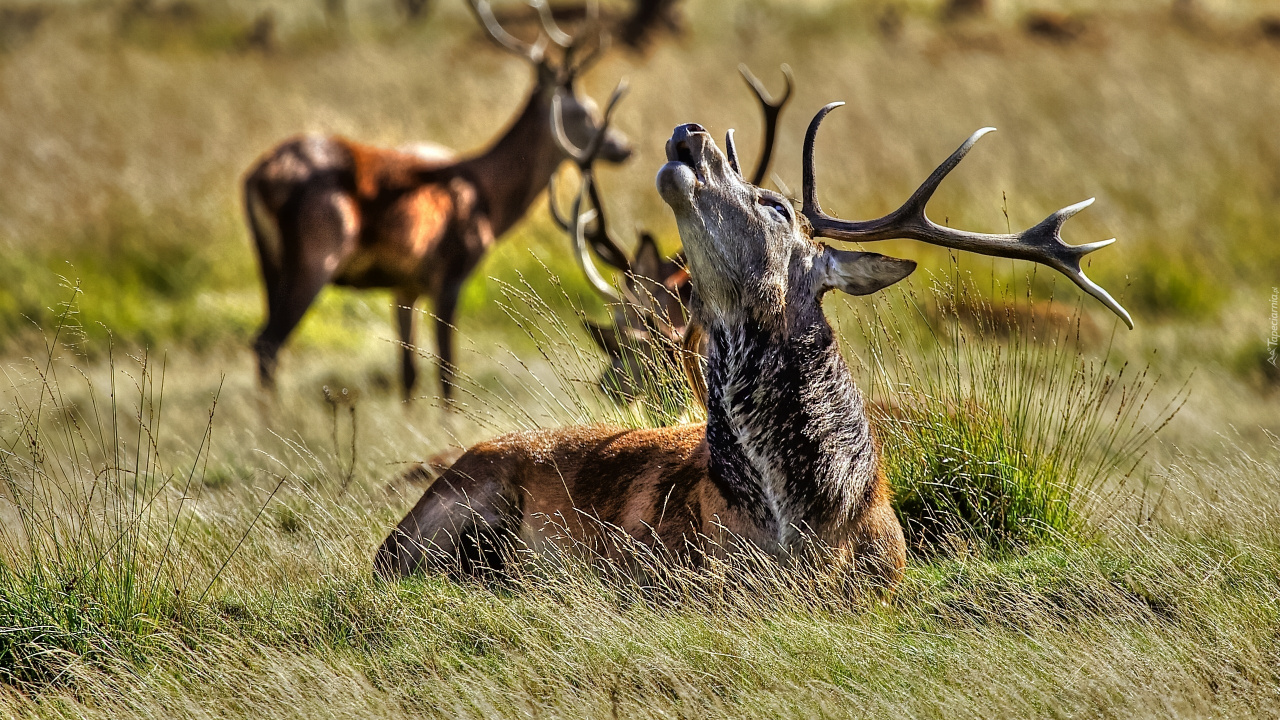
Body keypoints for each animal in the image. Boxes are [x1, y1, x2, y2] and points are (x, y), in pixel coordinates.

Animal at [242, 0, 631, 402]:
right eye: (583, 110)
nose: (623, 147)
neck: (487, 198)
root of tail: (256, 177)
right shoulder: (450, 275)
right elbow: (447, 373)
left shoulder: (405, 286)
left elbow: (408, 374)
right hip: (315, 258)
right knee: (268, 342)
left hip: (267, 261)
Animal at [373, 102, 1132, 594]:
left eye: (776, 205)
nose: (690, 132)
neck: (805, 524)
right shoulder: (676, 568)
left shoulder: (886, 580)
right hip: (443, 518)